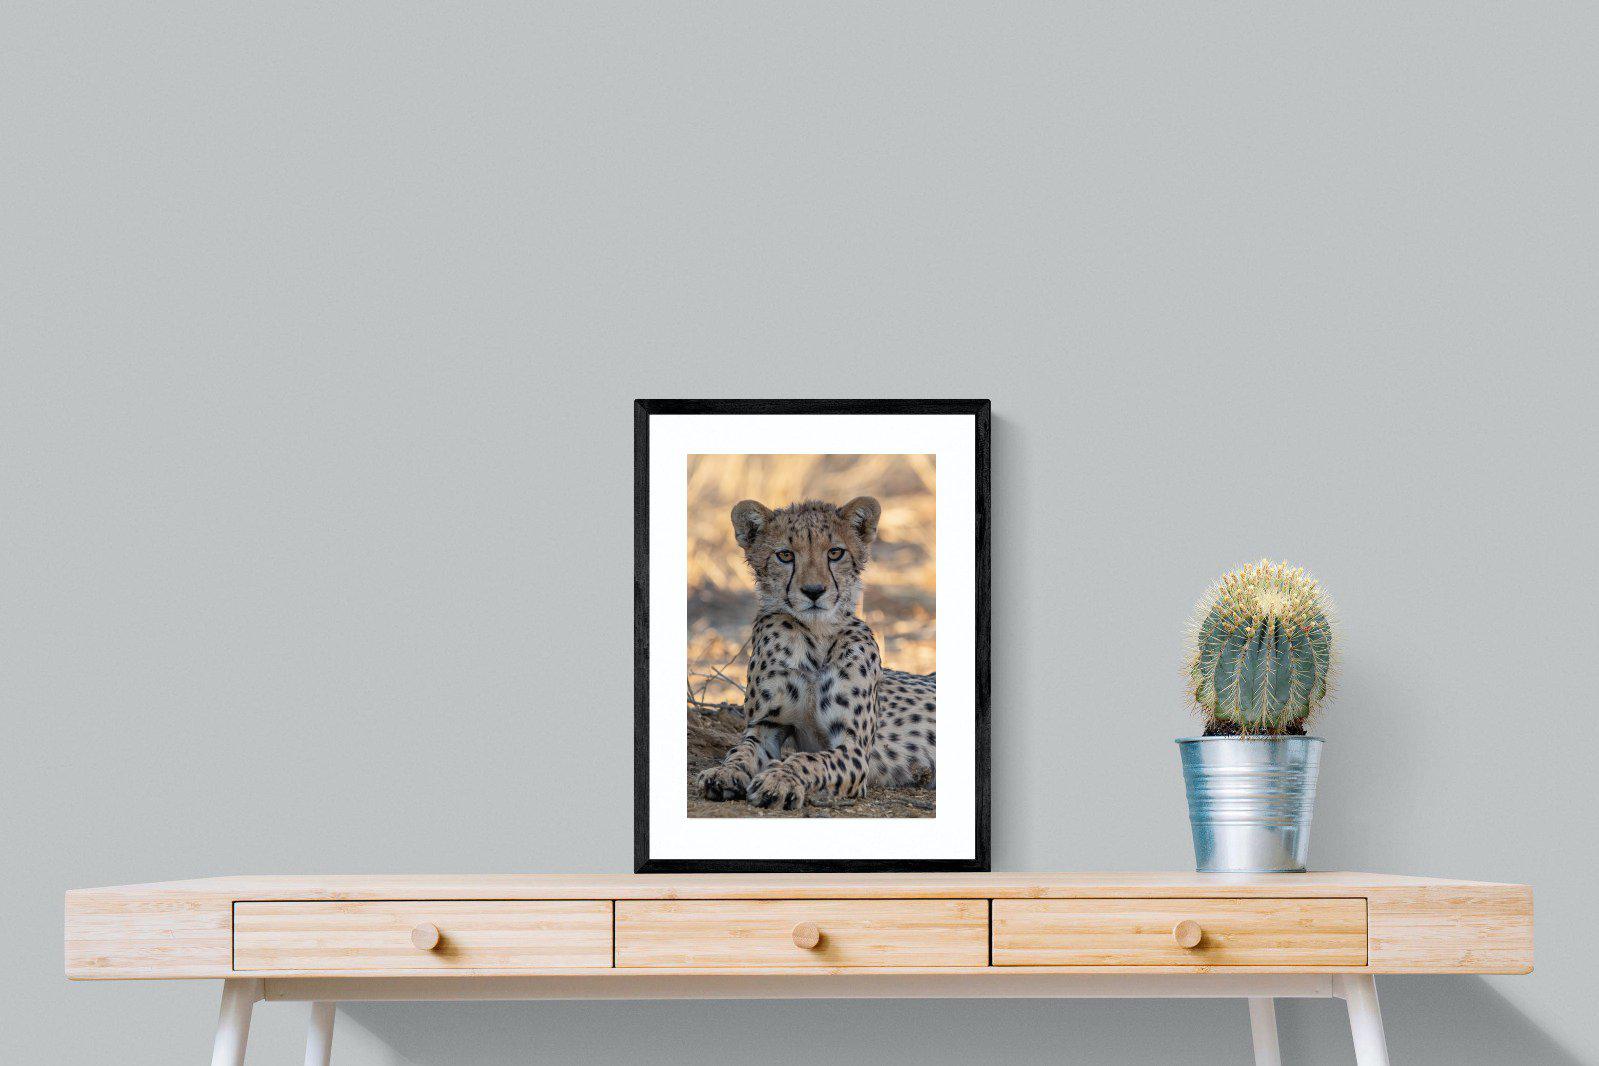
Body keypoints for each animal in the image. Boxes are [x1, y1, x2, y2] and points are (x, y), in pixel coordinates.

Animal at [695, 494, 935, 812]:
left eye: (835, 552)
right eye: (785, 555)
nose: (813, 591)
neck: (815, 637)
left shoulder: (853, 749)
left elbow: (810, 760)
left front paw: (779, 780)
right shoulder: (766, 726)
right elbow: (741, 751)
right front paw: (724, 773)